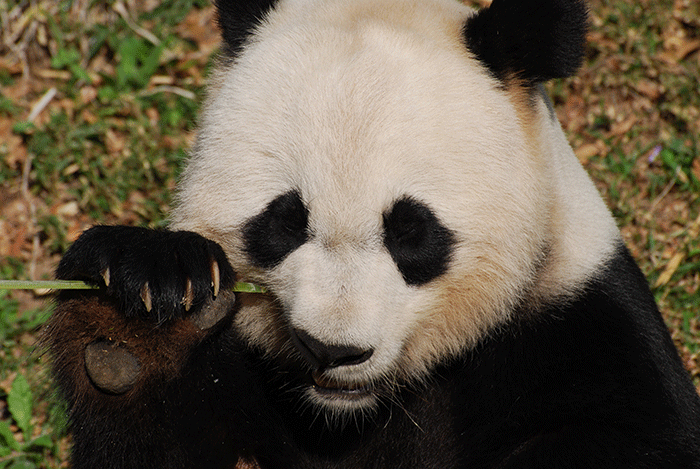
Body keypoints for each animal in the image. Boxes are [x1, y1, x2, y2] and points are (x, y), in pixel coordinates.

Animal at [46, 0, 700, 464]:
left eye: (412, 233)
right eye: (284, 222)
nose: (332, 350)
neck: (350, 413)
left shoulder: (578, 326)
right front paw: (139, 316)